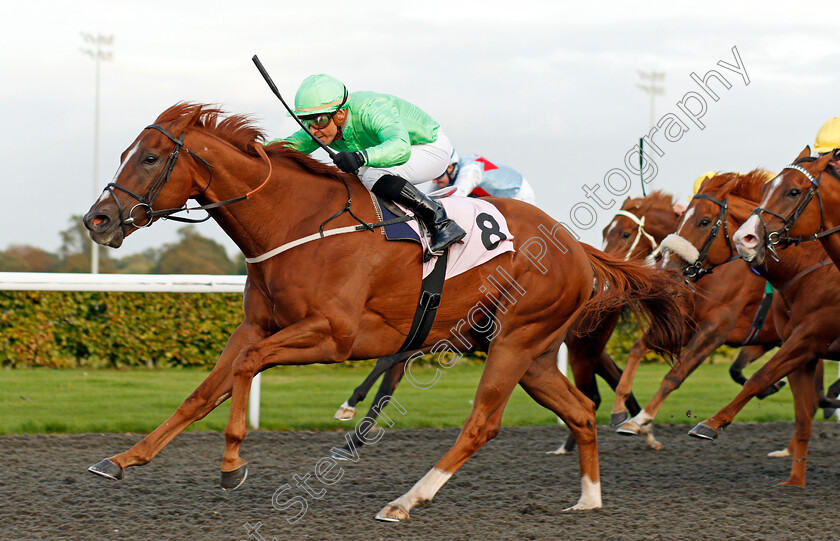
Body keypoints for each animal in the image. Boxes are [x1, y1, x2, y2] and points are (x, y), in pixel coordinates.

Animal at [334, 190, 684, 456]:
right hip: (580, 343)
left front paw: (350, 412)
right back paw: (626, 426)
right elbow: (389, 369)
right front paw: (354, 432)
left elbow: (388, 364)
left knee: (596, 389)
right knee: (605, 379)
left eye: (626, 233)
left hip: (578, 343)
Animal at [660, 170, 840, 486]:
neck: (811, 267)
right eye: (679, 219)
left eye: (703, 221)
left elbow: (759, 377)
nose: (668, 270)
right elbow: (800, 410)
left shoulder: (808, 336)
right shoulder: (797, 344)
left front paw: (709, 424)